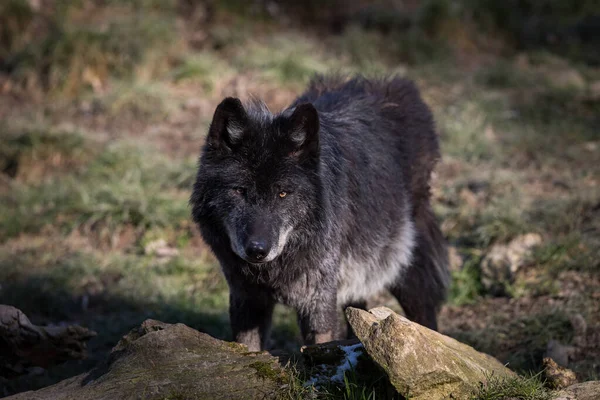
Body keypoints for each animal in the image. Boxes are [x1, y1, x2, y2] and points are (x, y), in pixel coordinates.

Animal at [190, 75, 448, 350]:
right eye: (239, 191)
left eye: (283, 194)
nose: (257, 250)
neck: (278, 266)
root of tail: (402, 86)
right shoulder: (247, 301)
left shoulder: (318, 303)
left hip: (404, 266)